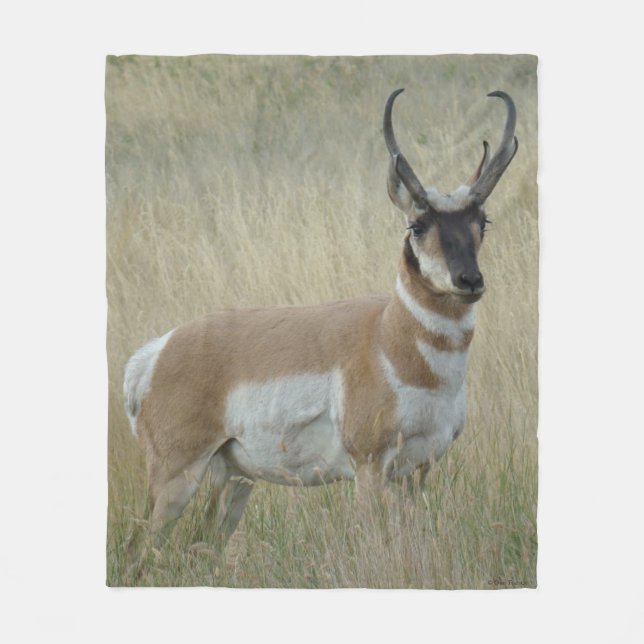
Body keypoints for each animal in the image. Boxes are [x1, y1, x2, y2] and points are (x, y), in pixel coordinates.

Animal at [124, 88, 518, 547]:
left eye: (482, 222)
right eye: (417, 225)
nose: (469, 279)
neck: (388, 337)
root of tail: (156, 351)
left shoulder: (418, 470)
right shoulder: (370, 466)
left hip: (234, 479)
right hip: (176, 476)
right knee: (140, 548)